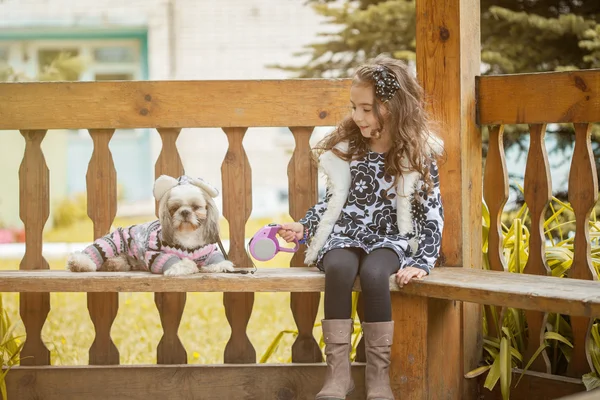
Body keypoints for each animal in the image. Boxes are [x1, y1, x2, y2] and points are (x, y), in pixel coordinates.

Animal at [66, 175, 234, 276]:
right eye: (174, 208)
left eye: (195, 207)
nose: (185, 212)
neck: (187, 235)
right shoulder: (155, 253)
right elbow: (177, 262)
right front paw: (186, 265)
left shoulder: (209, 250)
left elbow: (218, 261)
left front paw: (220, 266)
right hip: (114, 240)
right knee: (96, 251)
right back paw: (80, 263)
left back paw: (114, 264)